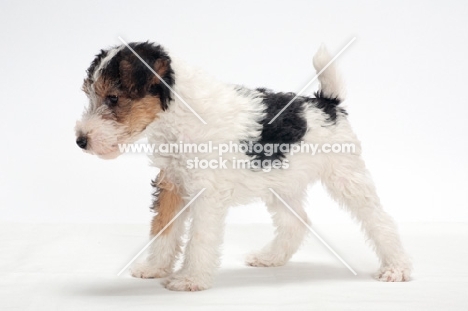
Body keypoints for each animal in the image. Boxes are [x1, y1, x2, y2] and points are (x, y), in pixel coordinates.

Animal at [75, 42, 412, 292]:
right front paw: (154, 268)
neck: (181, 114)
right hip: (281, 182)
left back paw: (396, 269)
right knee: (297, 223)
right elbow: (163, 229)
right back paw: (270, 257)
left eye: (113, 97)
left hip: (346, 176)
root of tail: (325, 104)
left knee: (380, 221)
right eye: (90, 95)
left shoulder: (206, 193)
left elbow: (200, 238)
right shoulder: (171, 183)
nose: (80, 140)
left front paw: (190, 279)